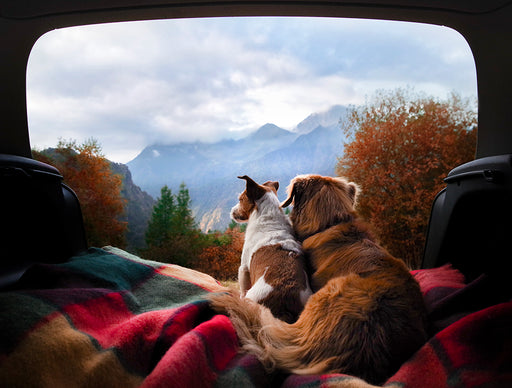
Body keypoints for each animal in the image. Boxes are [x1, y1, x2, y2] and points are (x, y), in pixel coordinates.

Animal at [229, 175, 312, 322]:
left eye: (240, 199)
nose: (231, 211)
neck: (269, 218)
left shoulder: (243, 268)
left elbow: (242, 288)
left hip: (251, 298)